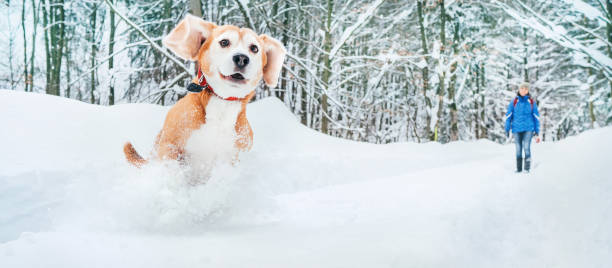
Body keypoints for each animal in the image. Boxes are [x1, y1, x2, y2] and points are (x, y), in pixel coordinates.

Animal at [125, 15, 288, 168]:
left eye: (254, 48)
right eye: (224, 42)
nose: (242, 58)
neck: (222, 102)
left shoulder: (232, 156)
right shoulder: (169, 146)